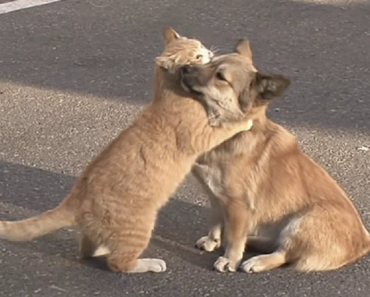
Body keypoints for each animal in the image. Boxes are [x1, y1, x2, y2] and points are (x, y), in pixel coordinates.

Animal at [0, 30, 251, 272]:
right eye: (198, 56)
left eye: (201, 46)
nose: (210, 52)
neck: (167, 91)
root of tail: (75, 199)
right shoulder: (203, 135)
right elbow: (228, 126)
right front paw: (244, 121)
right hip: (140, 228)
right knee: (119, 263)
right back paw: (150, 264)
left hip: (98, 233)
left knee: (87, 250)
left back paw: (102, 249)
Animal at [182, 40, 370, 272]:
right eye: (210, 61)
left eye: (220, 76)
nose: (184, 68)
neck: (231, 133)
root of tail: (364, 241)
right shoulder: (215, 197)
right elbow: (215, 222)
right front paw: (212, 240)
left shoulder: (238, 206)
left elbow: (235, 238)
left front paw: (230, 259)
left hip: (303, 220)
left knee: (284, 253)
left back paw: (257, 261)